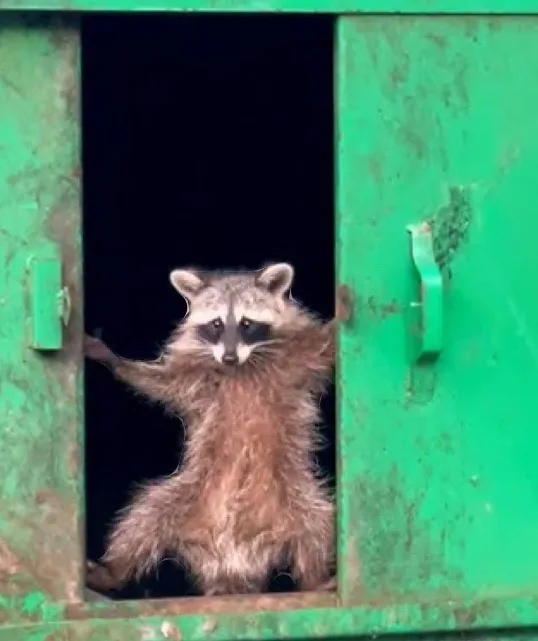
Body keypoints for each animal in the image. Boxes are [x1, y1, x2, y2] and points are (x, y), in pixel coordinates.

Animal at [85, 262, 352, 596]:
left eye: (247, 323)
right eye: (215, 324)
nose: (229, 356)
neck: (242, 367)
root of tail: (232, 564)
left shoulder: (297, 359)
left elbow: (325, 348)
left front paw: (342, 315)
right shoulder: (196, 376)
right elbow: (160, 383)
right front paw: (116, 362)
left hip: (294, 495)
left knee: (318, 523)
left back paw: (314, 578)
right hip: (185, 495)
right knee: (143, 518)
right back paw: (114, 571)